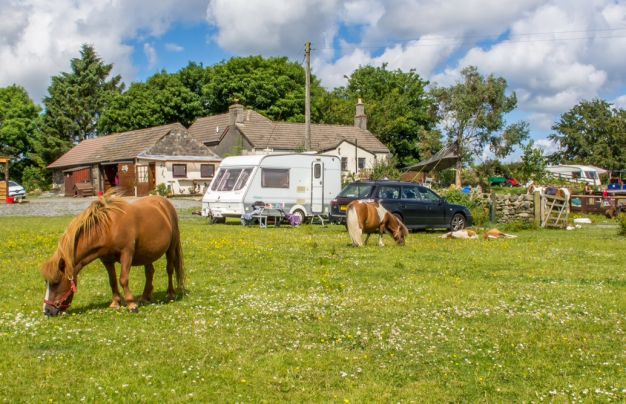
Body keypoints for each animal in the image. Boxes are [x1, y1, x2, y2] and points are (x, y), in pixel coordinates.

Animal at [40, 191, 183, 318]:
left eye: (56, 283)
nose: (47, 311)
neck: (108, 228)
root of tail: (164, 203)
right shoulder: (106, 260)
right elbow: (112, 281)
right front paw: (115, 303)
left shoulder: (126, 254)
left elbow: (123, 279)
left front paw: (131, 305)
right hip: (147, 254)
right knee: (149, 272)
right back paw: (145, 297)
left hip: (171, 248)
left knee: (170, 269)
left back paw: (170, 294)